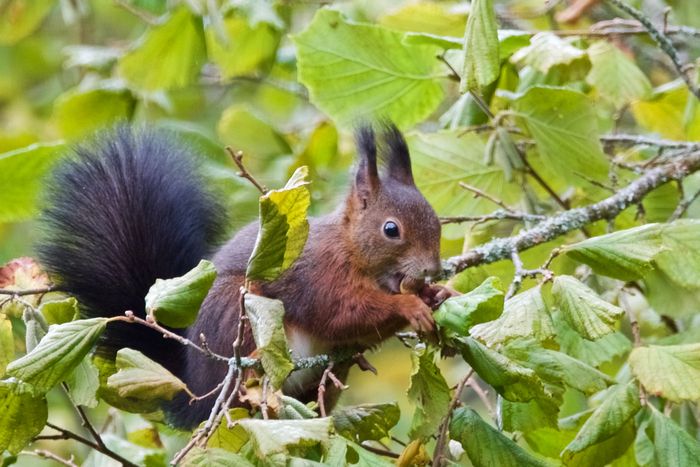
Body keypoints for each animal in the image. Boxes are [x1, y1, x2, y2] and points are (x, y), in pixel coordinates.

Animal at [39, 122, 448, 430]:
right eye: (391, 229)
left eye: (435, 218)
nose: (432, 269)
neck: (351, 250)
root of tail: (197, 391)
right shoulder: (320, 276)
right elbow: (343, 314)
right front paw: (410, 304)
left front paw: (438, 295)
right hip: (240, 315)